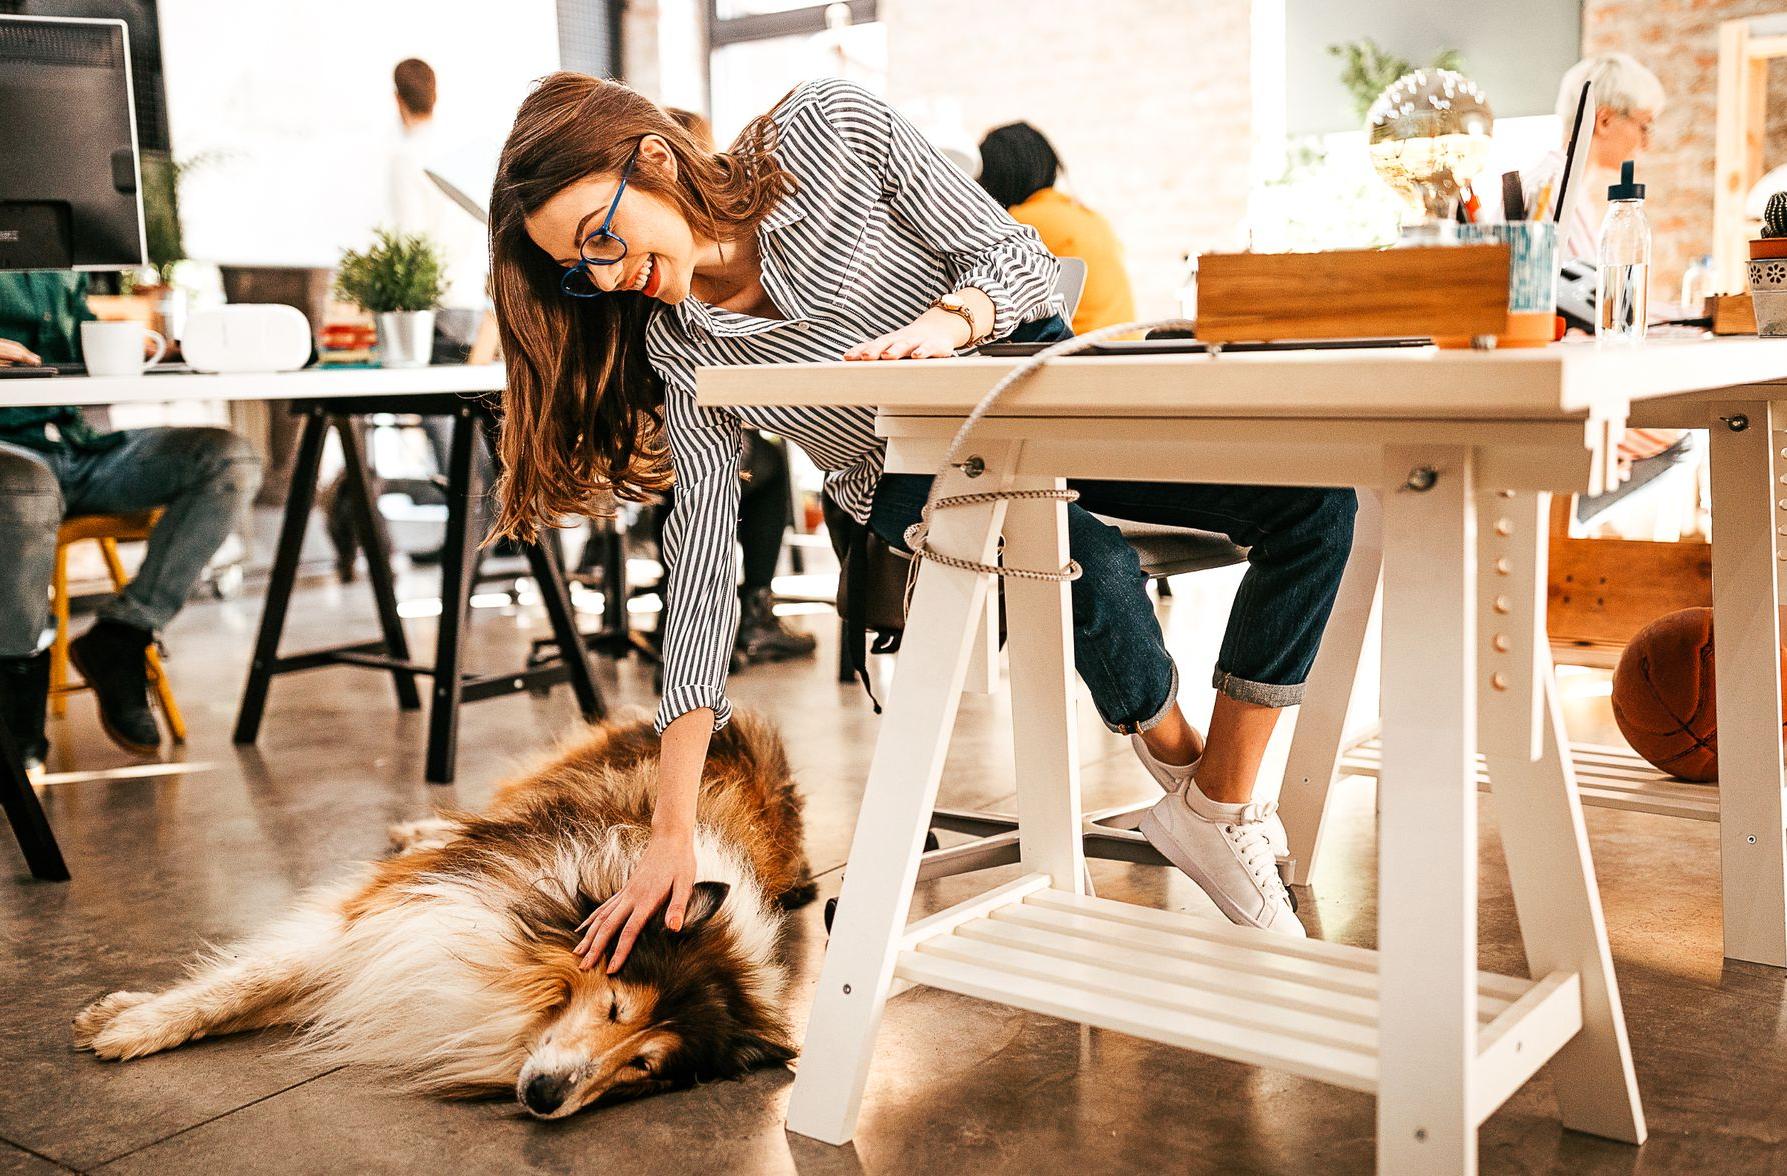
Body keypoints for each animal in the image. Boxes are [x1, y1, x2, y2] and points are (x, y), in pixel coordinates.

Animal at [73, 711, 814, 1115]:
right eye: (612, 1008)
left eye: (645, 1068)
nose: (547, 1097)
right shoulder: (392, 914)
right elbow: (241, 985)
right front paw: (129, 1025)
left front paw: (124, 1019)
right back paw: (421, 828)